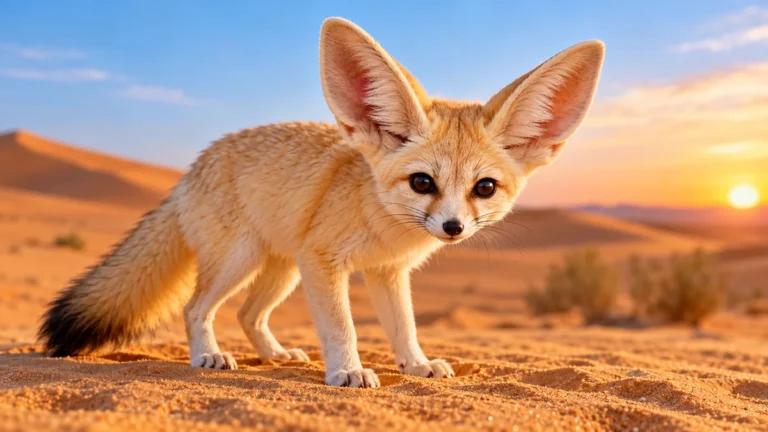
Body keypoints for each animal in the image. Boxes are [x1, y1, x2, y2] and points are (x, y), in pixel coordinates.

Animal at [38, 17, 604, 388]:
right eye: (423, 182)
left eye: (483, 188)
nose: (453, 228)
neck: (383, 222)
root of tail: (191, 168)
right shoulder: (326, 263)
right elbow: (341, 327)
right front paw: (349, 370)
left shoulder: (387, 272)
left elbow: (404, 327)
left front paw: (417, 365)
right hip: (245, 261)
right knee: (197, 308)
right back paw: (210, 357)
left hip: (282, 269)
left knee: (247, 314)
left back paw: (277, 354)